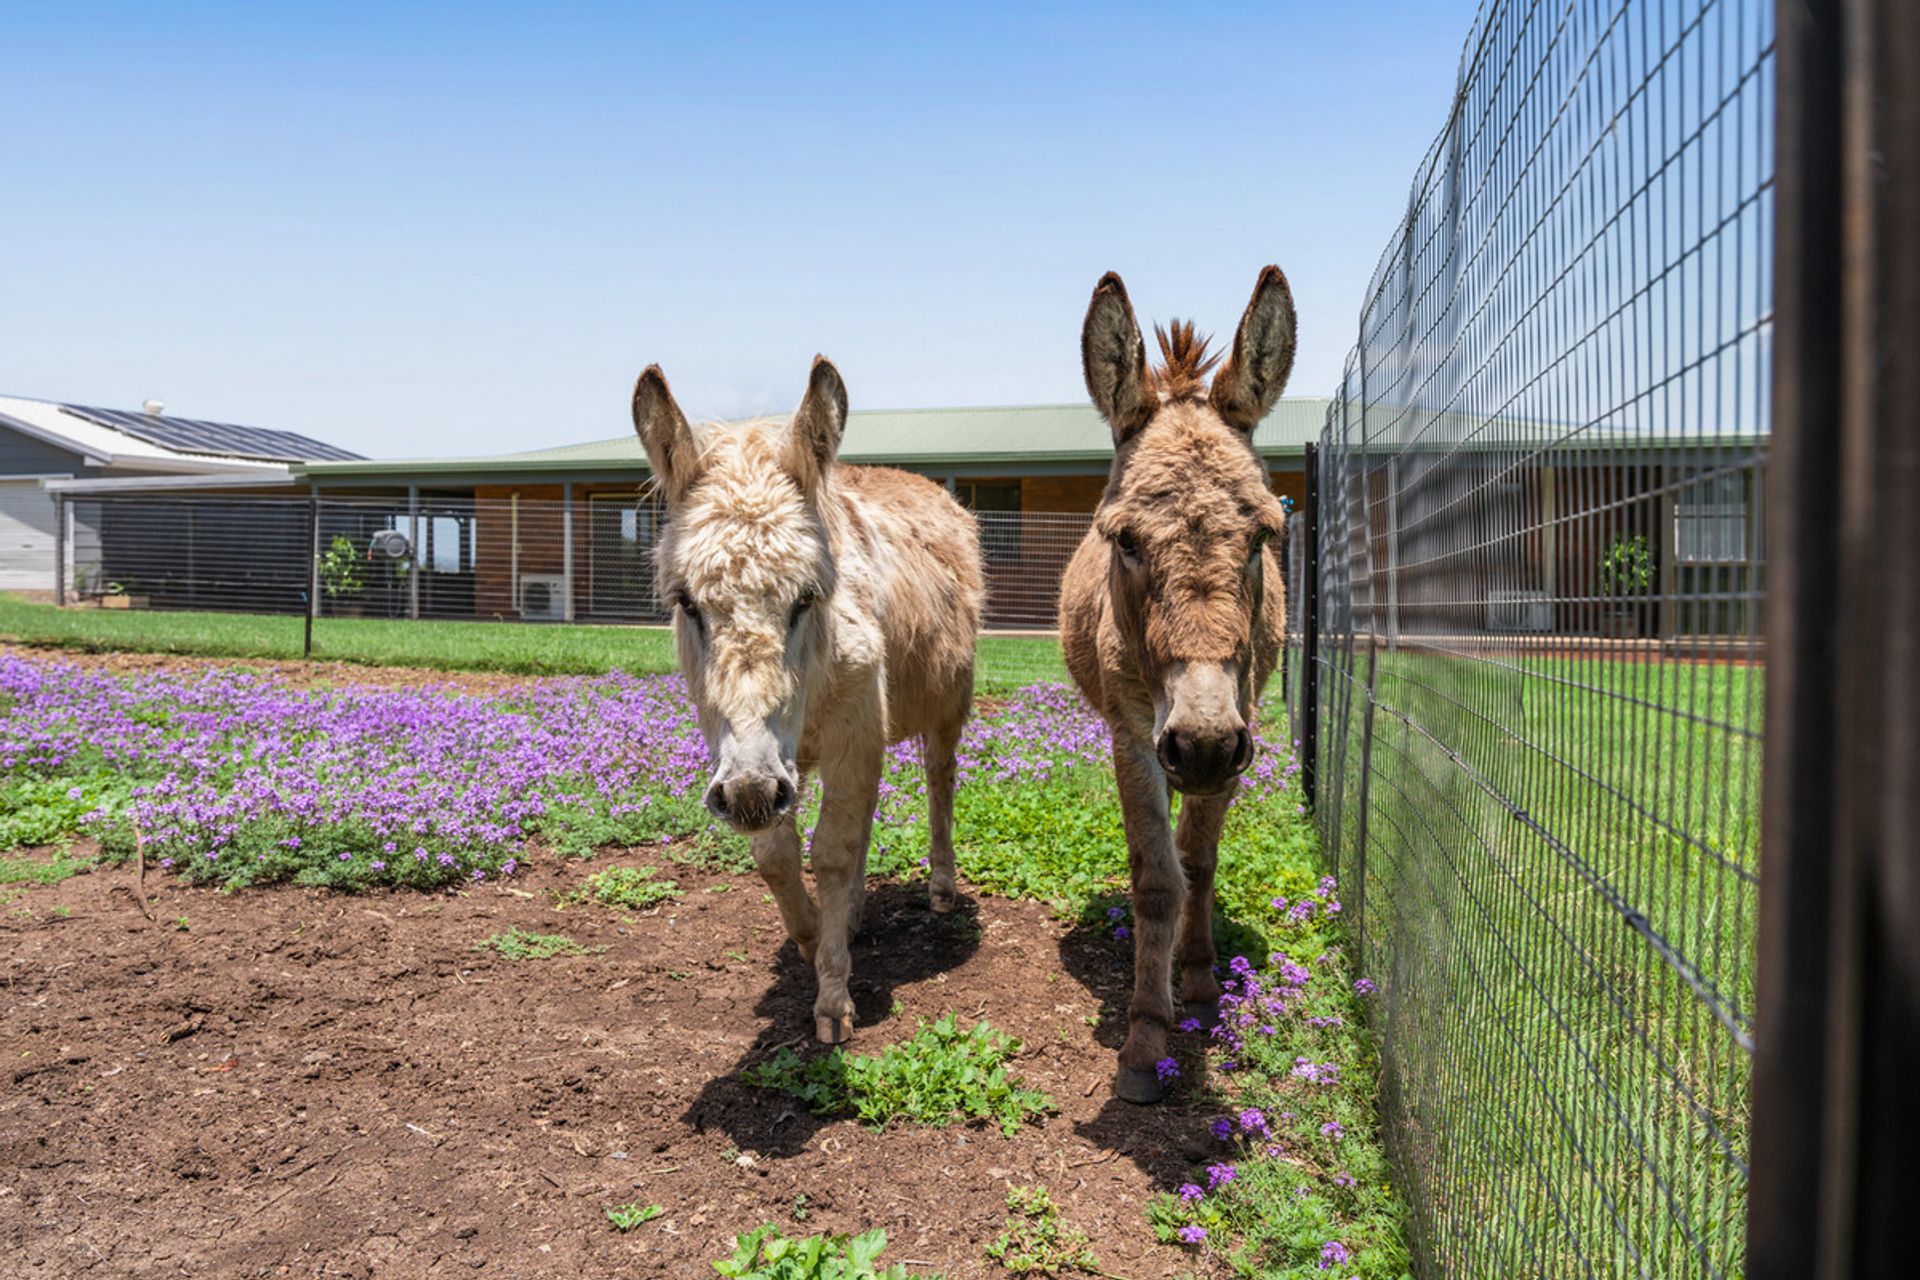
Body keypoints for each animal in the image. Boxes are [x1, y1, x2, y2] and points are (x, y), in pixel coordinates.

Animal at [631, 357, 984, 1044]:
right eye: (687, 603)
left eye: (806, 597)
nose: (749, 794)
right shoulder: (752, 754)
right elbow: (779, 854)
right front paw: (816, 935)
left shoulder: (852, 734)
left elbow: (834, 850)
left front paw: (833, 997)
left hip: (948, 703)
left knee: (940, 782)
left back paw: (940, 887)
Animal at [1058, 267, 1295, 1102]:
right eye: (1125, 540)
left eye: (1263, 536)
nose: (1200, 743)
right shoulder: (1133, 733)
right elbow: (1157, 877)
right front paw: (1144, 1036)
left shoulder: (1241, 720)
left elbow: (1198, 861)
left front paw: (1194, 983)